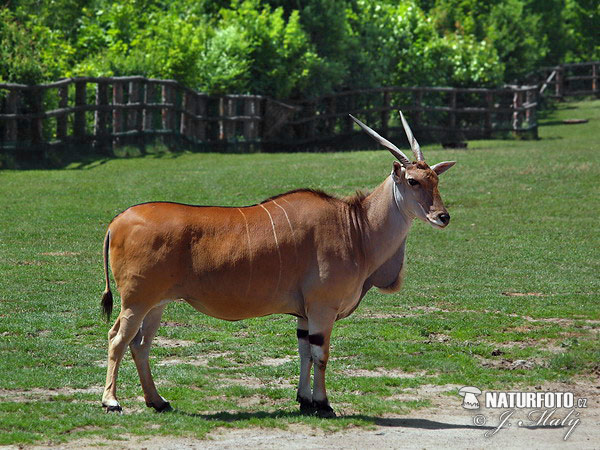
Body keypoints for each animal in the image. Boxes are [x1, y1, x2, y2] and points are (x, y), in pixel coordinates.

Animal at [99, 112, 454, 418]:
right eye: (412, 181)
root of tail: (117, 221)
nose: (443, 216)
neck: (355, 227)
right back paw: (111, 401)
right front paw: (323, 404)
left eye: (436, 180)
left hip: (156, 304)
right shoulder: (322, 309)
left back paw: (157, 401)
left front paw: (304, 400)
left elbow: (304, 353)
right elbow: (321, 355)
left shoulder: (304, 314)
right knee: (117, 338)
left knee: (140, 346)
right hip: (136, 301)